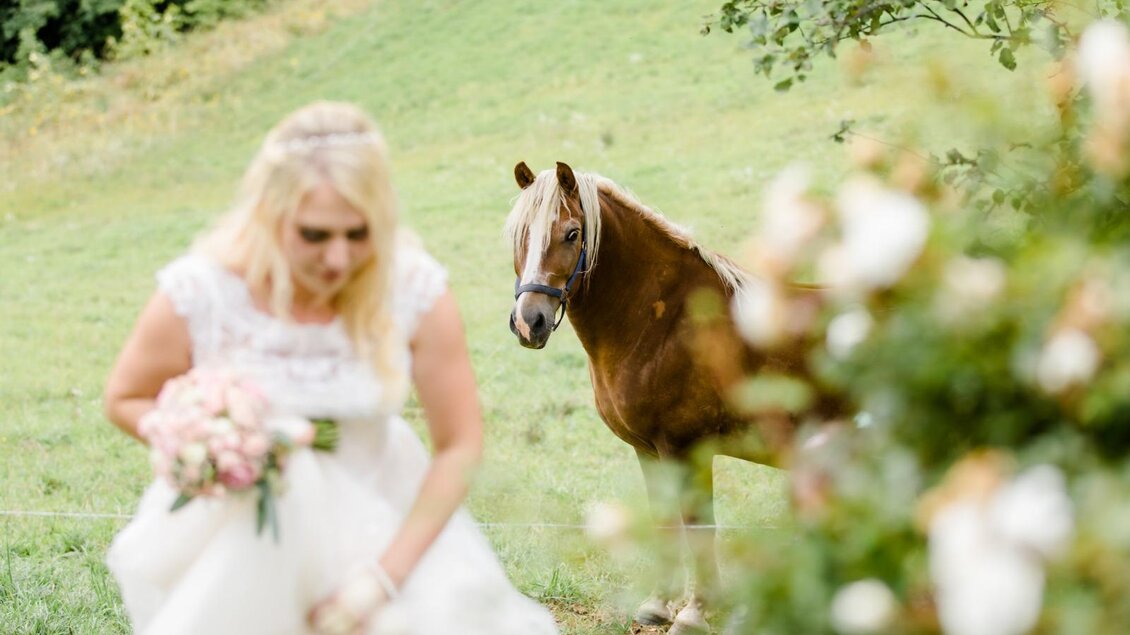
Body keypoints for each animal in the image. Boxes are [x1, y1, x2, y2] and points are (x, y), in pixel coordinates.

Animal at [505, 161, 844, 633]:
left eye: (572, 233)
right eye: (519, 234)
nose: (529, 322)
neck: (664, 320)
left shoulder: (688, 448)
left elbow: (699, 526)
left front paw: (697, 612)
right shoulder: (647, 450)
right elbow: (665, 522)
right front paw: (659, 604)